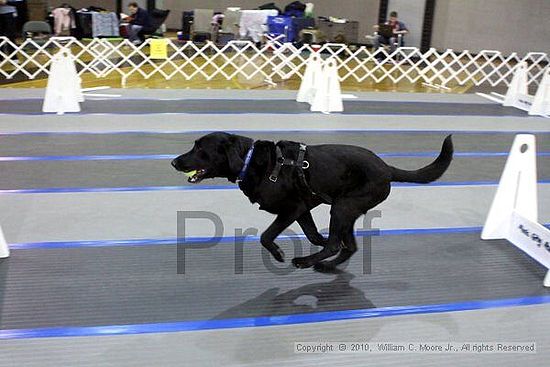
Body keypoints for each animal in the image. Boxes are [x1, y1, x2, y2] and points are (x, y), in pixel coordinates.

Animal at [171, 134, 452, 272]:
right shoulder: (303, 208)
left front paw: (279, 254)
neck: (252, 162)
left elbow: (266, 235)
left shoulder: (291, 209)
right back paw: (326, 265)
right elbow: (313, 233)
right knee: (347, 245)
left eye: (200, 149)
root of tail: (387, 169)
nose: (173, 161)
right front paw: (318, 241)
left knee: (338, 244)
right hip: (345, 209)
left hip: (342, 207)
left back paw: (307, 261)